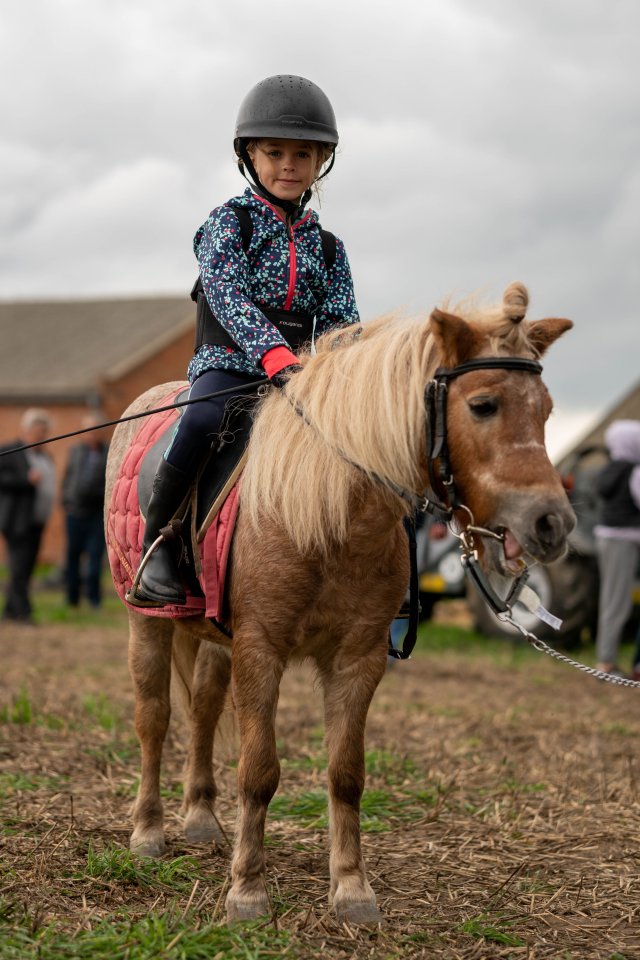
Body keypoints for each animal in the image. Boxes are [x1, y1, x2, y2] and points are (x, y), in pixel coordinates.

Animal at [105, 284, 576, 924]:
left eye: (547, 410)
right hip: (147, 623)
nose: (552, 524)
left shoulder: (357, 658)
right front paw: (248, 891)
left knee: (202, 709)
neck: (331, 515)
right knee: (153, 718)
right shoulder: (262, 649)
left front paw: (352, 889)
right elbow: (259, 771)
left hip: (216, 640)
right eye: (483, 405)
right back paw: (148, 831)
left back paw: (200, 818)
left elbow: (346, 774)